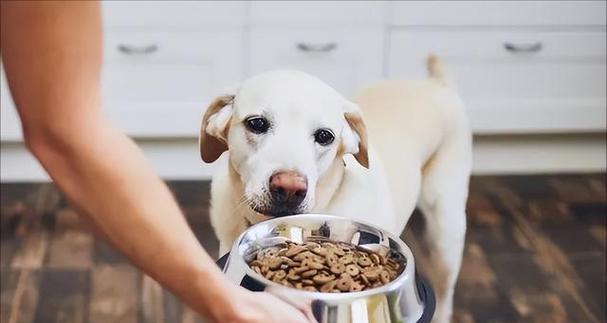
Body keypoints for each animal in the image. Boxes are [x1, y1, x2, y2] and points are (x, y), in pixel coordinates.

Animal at [202, 57, 472, 322]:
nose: (289, 188)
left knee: (445, 294)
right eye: (256, 123)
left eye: (325, 136)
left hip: (445, 233)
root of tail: (437, 83)